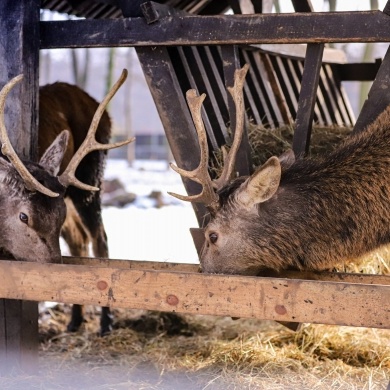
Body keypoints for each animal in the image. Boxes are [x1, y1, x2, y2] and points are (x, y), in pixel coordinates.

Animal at [0, 68, 134, 334]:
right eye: (24, 216)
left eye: (58, 216)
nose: (55, 271)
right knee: (79, 240)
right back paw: (75, 319)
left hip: (91, 178)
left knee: (99, 238)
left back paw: (105, 322)